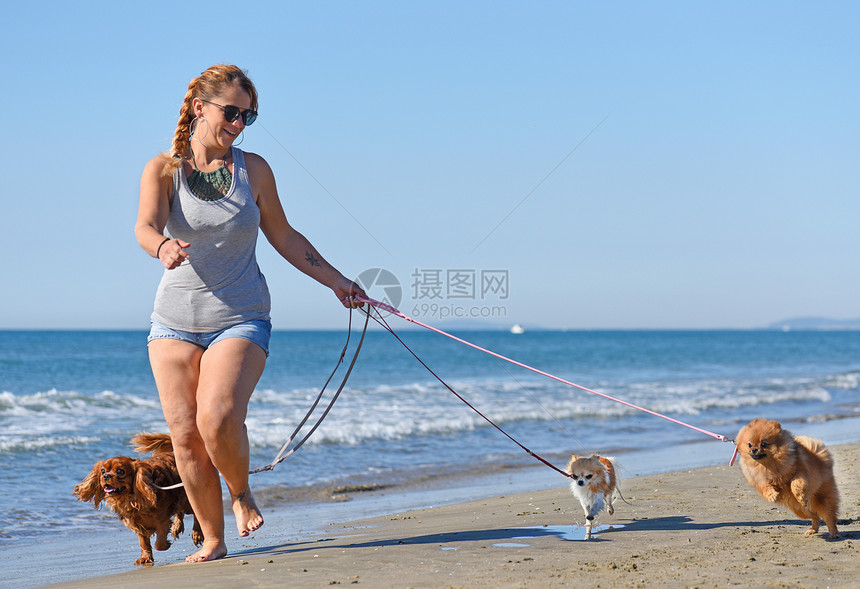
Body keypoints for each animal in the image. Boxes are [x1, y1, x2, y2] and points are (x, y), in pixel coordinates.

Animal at [73, 432, 202, 564]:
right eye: (103, 471)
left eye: (120, 471)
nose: (106, 476)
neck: (131, 498)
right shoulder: (138, 525)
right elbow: (144, 543)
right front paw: (145, 557)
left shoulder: (162, 520)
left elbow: (159, 543)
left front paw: (165, 544)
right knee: (180, 511)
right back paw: (177, 526)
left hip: (186, 497)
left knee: (196, 511)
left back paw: (196, 533)